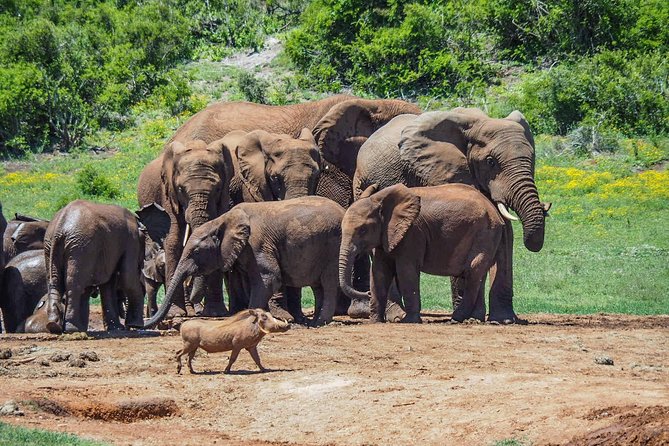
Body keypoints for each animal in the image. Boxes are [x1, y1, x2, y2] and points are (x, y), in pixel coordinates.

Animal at [43, 200, 169, 333]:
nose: (128, 327)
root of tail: (59, 227)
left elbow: (108, 284)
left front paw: (117, 328)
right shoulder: (131, 241)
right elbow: (128, 279)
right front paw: (135, 325)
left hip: (52, 246)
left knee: (55, 282)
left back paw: (54, 325)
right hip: (81, 247)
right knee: (74, 284)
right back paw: (72, 328)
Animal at [144, 196, 345, 329]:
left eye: (197, 252)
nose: (147, 324)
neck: (222, 220)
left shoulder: (257, 244)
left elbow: (269, 279)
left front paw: (251, 319)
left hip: (333, 246)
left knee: (327, 283)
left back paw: (320, 322)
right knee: (318, 287)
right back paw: (314, 321)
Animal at [340, 184, 506, 323]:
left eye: (362, 230)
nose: (366, 293)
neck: (379, 199)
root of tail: (494, 210)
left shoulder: (412, 234)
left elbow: (406, 271)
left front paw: (409, 321)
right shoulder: (386, 236)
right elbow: (379, 272)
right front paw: (375, 322)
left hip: (485, 233)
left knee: (473, 271)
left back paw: (456, 318)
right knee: (479, 275)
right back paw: (473, 319)